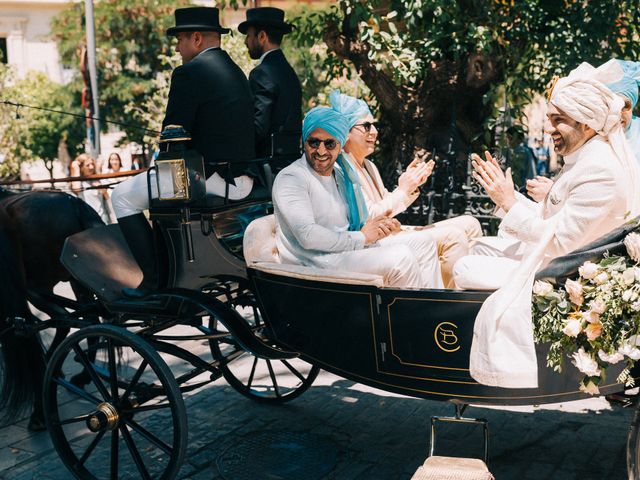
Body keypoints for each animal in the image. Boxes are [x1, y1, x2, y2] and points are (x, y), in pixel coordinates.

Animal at [0, 188, 102, 432]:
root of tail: (74, 202)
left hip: (36, 287)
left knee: (60, 320)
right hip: (77, 278)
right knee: (90, 318)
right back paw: (81, 376)